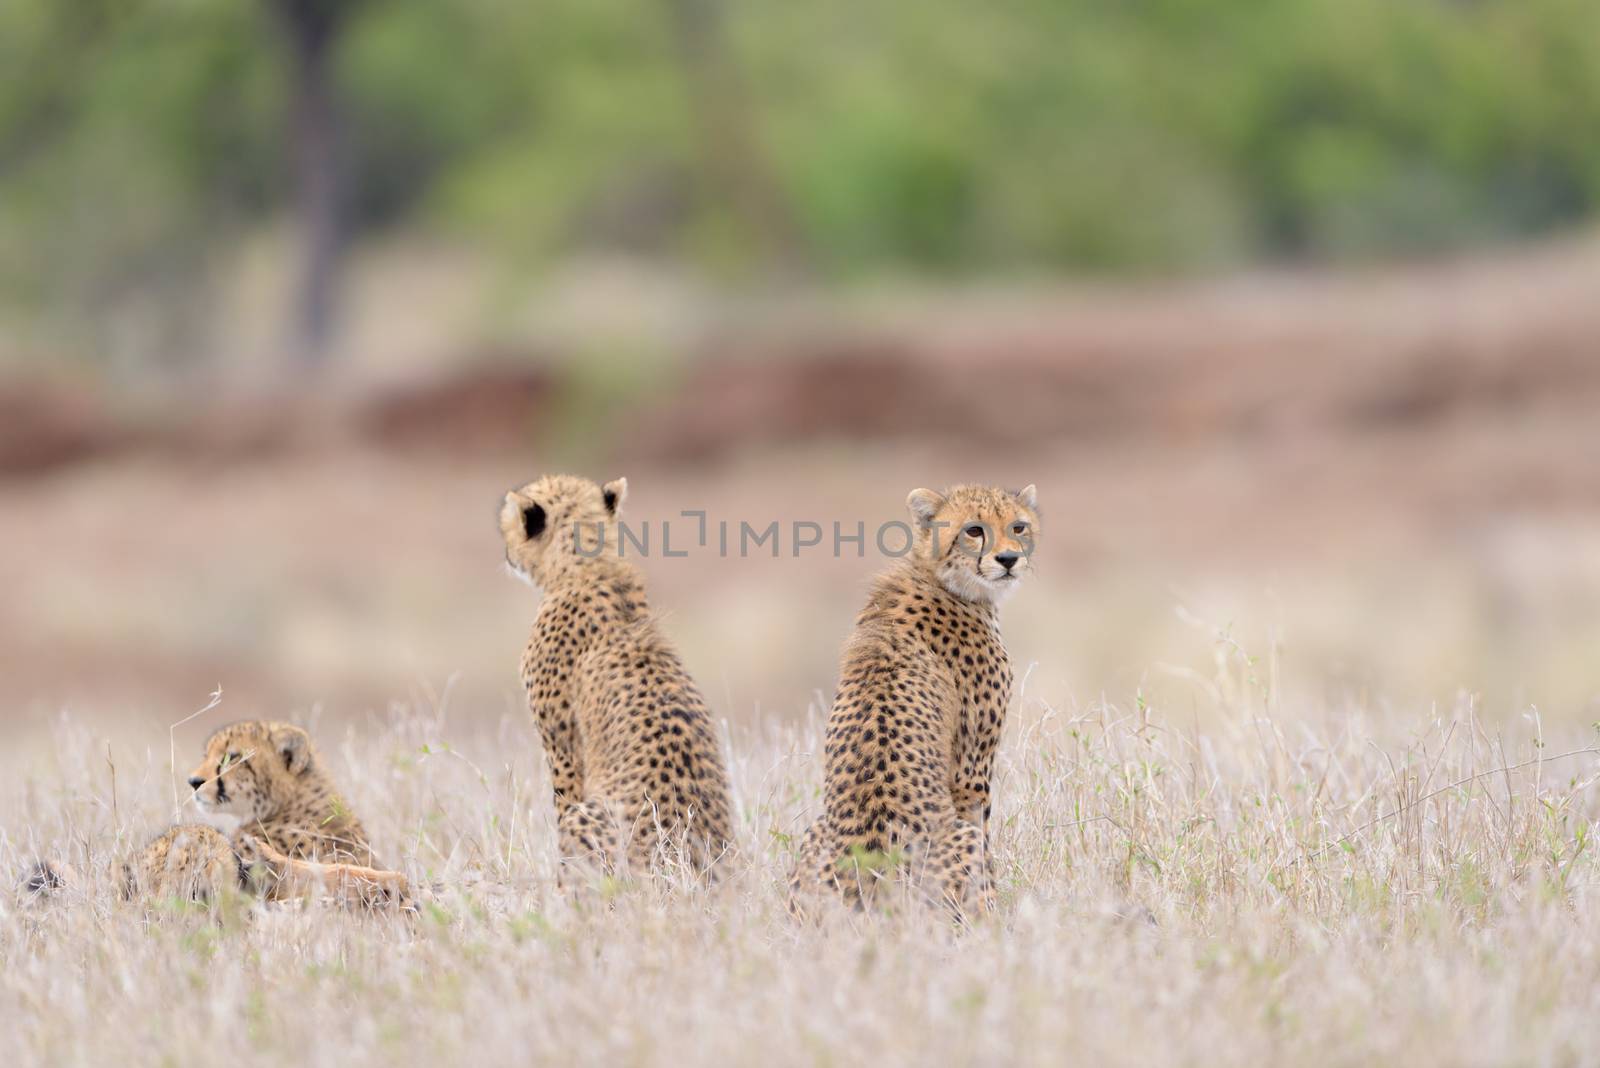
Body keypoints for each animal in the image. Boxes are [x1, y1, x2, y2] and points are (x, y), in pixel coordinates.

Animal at [784, 482, 1036, 920]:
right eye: (974, 530)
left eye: (1018, 526)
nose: (1008, 559)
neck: (940, 577)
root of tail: (868, 894)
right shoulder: (969, 774)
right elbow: (986, 834)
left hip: (817, 828)